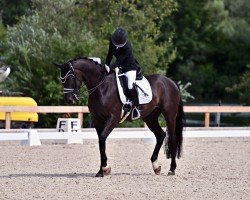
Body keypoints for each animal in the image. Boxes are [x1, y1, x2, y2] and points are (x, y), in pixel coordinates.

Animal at [54, 57, 184, 177]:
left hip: (169, 115)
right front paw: (102, 171)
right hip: (150, 117)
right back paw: (156, 166)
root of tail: (171, 82)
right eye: (62, 79)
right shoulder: (97, 120)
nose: (69, 100)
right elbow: (101, 142)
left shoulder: (113, 118)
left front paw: (105, 169)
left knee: (172, 137)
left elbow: (102, 138)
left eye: (70, 77)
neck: (101, 87)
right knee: (161, 135)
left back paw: (172, 169)